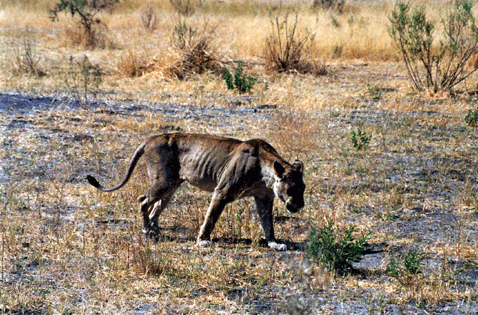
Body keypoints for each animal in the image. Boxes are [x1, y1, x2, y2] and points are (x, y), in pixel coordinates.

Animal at [87, 134, 306, 252]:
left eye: (302, 188)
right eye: (291, 189)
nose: (300, 205)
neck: (265, 174)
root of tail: (151, 139)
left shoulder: (264, 198)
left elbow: (268, 222)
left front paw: (274, 243)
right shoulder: (222, 191)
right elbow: (211, 217)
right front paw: (203, 240)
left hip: (171, 187)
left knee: (155, 208)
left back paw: (155, 229)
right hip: (163, 182)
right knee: (143, 200)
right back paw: (147, 230)